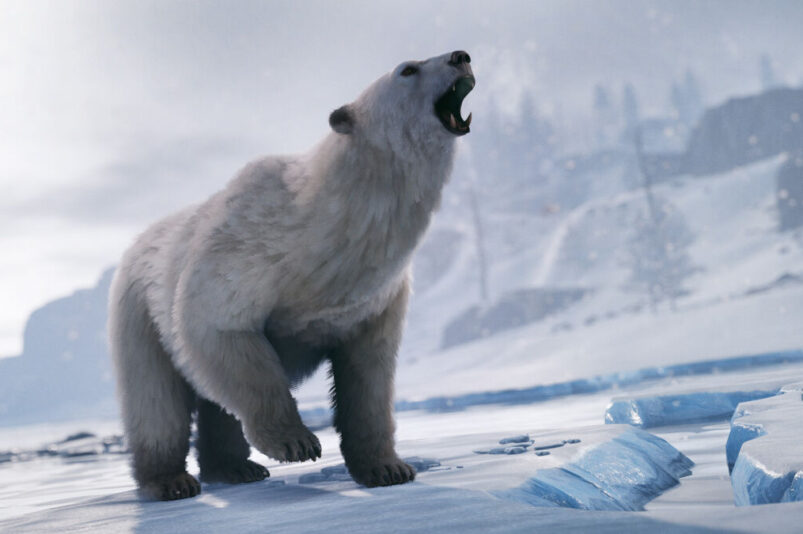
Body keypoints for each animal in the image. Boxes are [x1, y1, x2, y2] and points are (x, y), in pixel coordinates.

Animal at [108, 50, 474, 500]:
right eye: (408, 69)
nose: (461, 56)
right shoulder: (250, 245)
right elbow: (221, 328)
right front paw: (296, 443)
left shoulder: (374, 298)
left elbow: (369, 376)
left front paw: (389, 468)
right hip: (138, 308)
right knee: (154, 397)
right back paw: (171, 480)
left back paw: (234, 468)